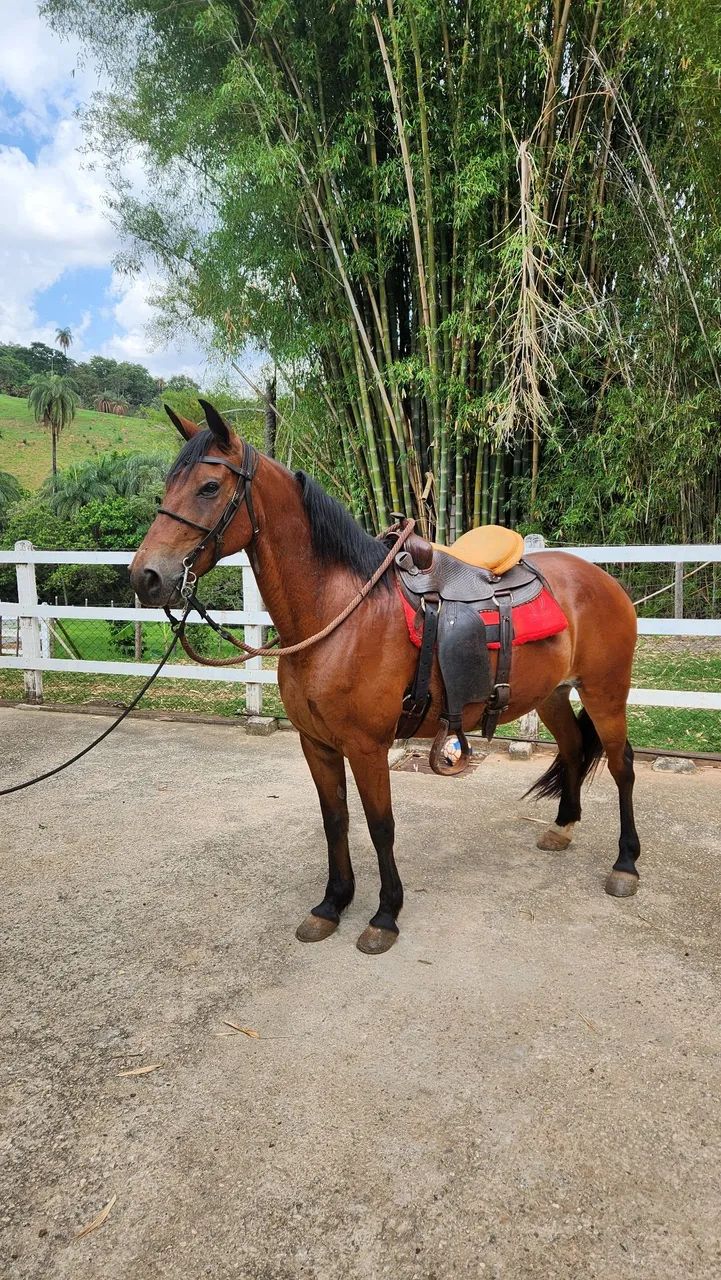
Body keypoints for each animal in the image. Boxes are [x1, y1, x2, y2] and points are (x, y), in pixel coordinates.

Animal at [130, 400, 640, 956]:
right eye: (168, 485)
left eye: (208, 487)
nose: (145, 577)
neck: (338, 616)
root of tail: (602, 578)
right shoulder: (317, 744)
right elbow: (335, 820)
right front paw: (332, 904)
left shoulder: (367, 746)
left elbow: (380, 826)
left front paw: (384, 915)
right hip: (552, 695)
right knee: (572, 747)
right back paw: (563, 829)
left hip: (605, 693)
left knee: (621, 766)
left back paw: (625, 865)